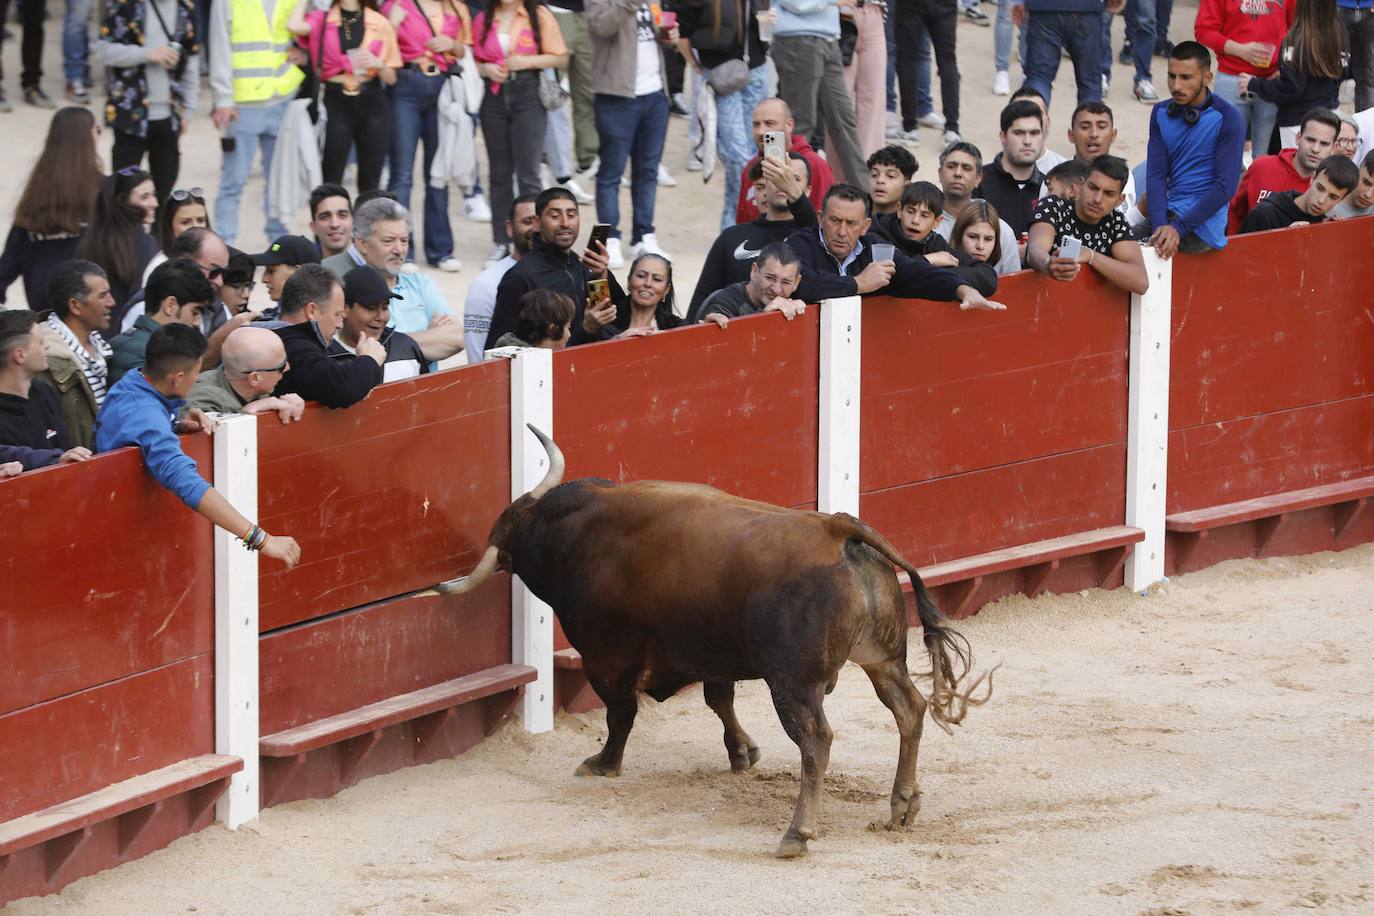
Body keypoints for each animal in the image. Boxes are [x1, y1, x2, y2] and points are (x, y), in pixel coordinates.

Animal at [450, 425, 989, 856]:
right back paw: (902, 805)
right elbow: (718, 698)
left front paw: (603, 763)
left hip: (793, 684)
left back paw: (797, 834)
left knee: (816, 740)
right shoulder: (711, 652)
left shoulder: (606, 658)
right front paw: (742, 752)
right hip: (882, 658)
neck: (581, 531)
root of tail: (839, 528)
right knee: (909, 709)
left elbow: (621, 714)